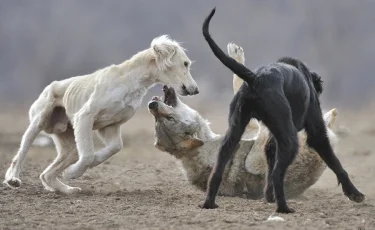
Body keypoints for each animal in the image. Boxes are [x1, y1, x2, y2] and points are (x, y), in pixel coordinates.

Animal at [3, 35, 200, 194]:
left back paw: (67, 189)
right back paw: (13, 179)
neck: (131, 82)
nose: (195, 90)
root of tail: (51, 85)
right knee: (20, 154)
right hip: (38, 123)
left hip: (70, 146)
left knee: (46, 174)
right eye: (185, 63)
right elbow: (88, 155)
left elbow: (113, 149)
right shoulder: (85, 117)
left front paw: (76, 170)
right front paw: (75, 172)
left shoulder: (110, 126)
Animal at [201, 9, 366, 214]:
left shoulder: (272, 141)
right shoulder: (316, 133)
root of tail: (256, 78)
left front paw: (268, 196)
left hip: (234, 132)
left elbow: (270, 163)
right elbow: (335, 163)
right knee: (278, 174)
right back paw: (284, 207)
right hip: (290, 140)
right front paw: (354, 193)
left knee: (219, 169)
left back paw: (209, 203)